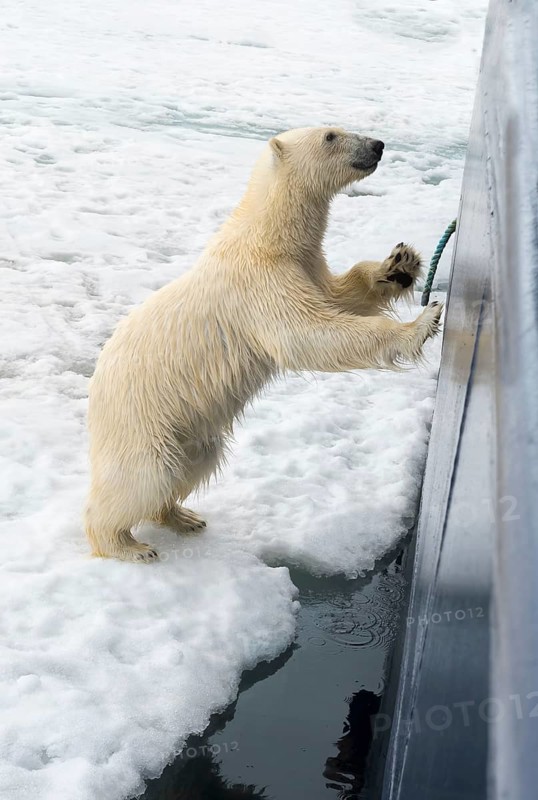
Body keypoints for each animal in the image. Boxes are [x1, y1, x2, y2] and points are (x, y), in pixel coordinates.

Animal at [85, 126, 442, 562]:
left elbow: (342, 295)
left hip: (189, 430)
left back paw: (182, 516)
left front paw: (400, 265)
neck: (265, 236)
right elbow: (309, 335)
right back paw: (127, 545)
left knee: (194, 464)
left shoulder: (306, 266)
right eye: (330, 135)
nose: (377, 145)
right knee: (144, 476)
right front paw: (422, 322)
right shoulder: (260, 283)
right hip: (142, 421)